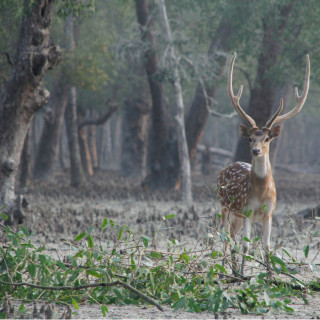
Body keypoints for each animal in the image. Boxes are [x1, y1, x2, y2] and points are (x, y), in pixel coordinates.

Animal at [218, 53, 310, 276]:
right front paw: (245, 274)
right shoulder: (248, 210)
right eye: (251, 138)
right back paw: (225, 270)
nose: (255, 150)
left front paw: (269, 275)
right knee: (226, 238)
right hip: (224, 207)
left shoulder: (269, 213)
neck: (260, 193)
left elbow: (267, 245)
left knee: (232, 236)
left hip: (236, 214)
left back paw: (233, 270)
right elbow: (246, 245)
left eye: (267, 139)